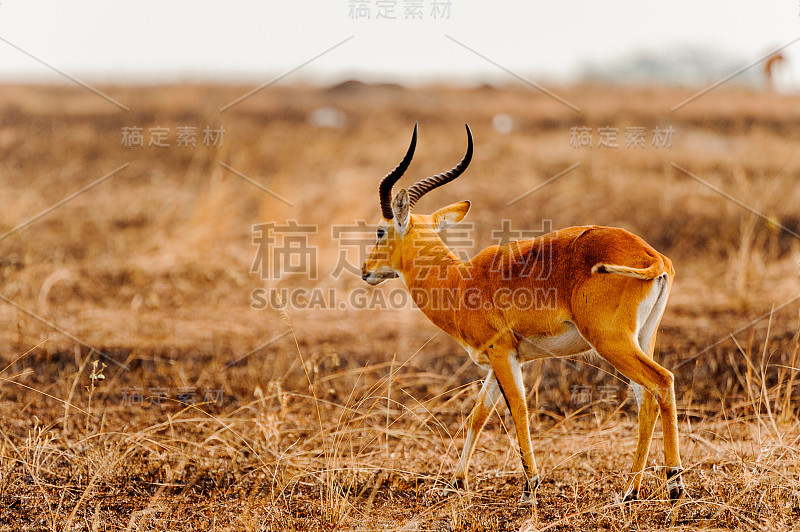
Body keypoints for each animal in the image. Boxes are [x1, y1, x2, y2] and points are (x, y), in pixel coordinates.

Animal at [360, 122, 680, 504]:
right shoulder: (501, 358)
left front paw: (531, 486)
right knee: (646, 398)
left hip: (612, 343)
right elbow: (478, 414)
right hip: (641, 339)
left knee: (661, 382)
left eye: (381, 230)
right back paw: (630, 490)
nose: (365, 270)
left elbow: (518, 408)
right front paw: (457, 481)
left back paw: (674, 483)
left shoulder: (501, 353)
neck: (461, 280)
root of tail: (652, 257)